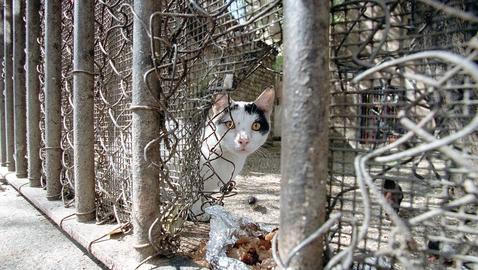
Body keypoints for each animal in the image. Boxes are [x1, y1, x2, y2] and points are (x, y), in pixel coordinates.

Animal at [189, 87, 274, 220]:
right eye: (229, 124)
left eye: (256, 126)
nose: (243, 140)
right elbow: (194, 192)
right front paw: (198, 211)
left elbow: (203, 193)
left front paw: (206, 207)